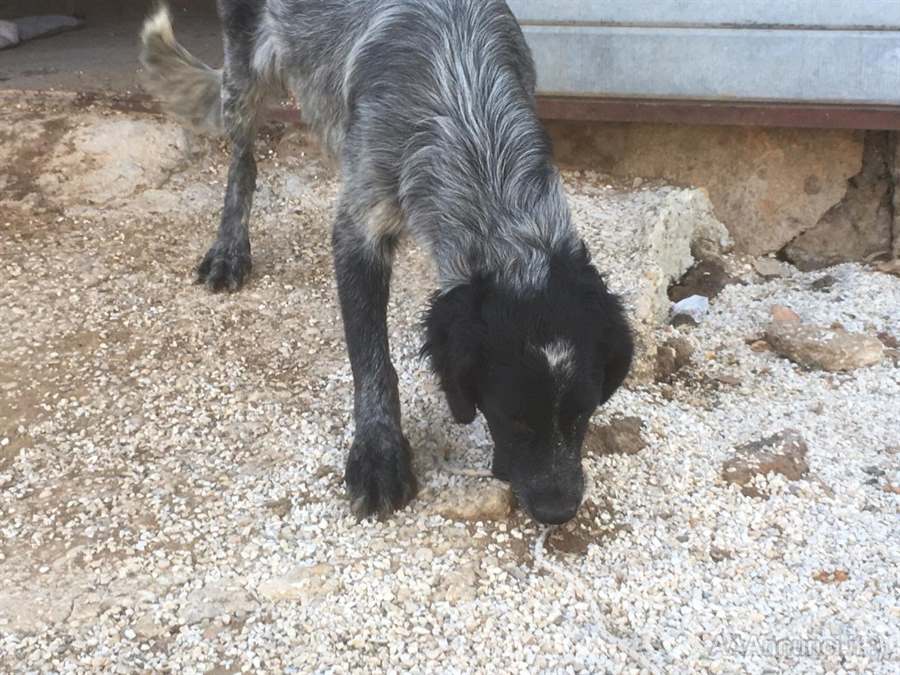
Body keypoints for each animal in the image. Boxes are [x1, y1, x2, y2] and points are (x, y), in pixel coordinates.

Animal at [141, 0, 632, 524]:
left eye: (583, 412)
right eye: (511, 416)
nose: (558, 511)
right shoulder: (359, 232)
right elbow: (371, 360)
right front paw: (379, 454)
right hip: (244, 73)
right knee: (242, 157)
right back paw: (230, 248)